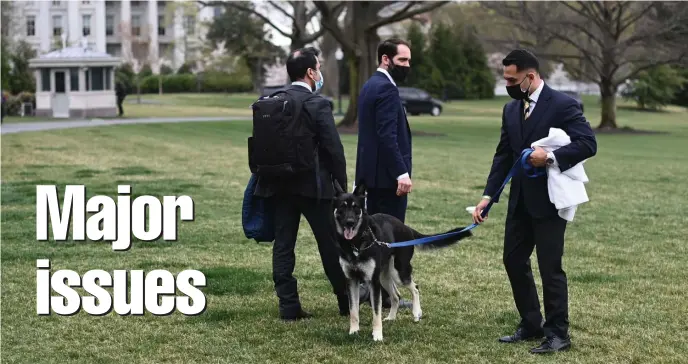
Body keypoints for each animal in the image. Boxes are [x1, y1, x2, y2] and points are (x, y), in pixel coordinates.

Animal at [334, 182, 472, 342]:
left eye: (356, 207)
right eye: (342, 207)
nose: (349, 223)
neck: (356, 243)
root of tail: (407, 228)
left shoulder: (373, 282)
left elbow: (376, 312)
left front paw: (377, 335)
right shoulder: (351, 280)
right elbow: (354, 310)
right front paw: (354, 331)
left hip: (398, 272)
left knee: (415, 287)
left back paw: (417, 312)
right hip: (385, 276)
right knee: (396, 296)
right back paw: (391, 317)